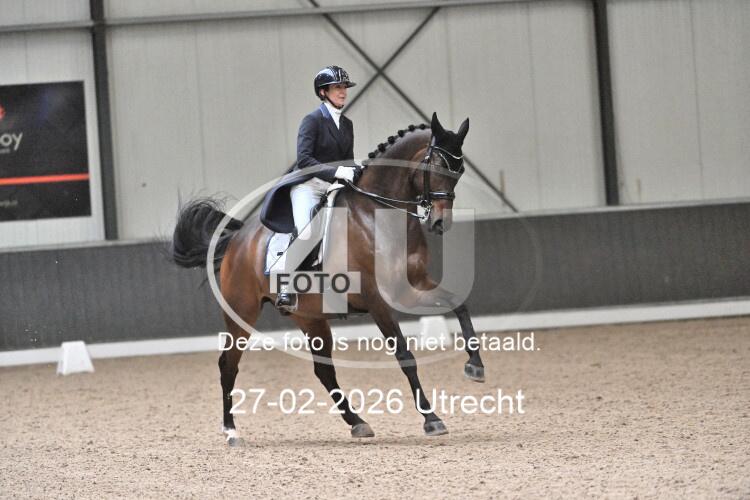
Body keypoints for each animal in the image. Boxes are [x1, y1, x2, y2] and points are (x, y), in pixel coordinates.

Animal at [171, 112, 485, 445]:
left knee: (324, 371)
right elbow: (404, 355)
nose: (439, 222)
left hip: (310, 317)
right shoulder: (377, 300)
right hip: (241, 314)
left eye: (459, 171)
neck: (378, 216)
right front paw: (431, 419)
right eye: (434, 168)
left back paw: (358, 423)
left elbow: (460, 306)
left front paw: (475, 366)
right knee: (228, 365)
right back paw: (231, 431)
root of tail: (237, 241)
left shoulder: (412, 289)